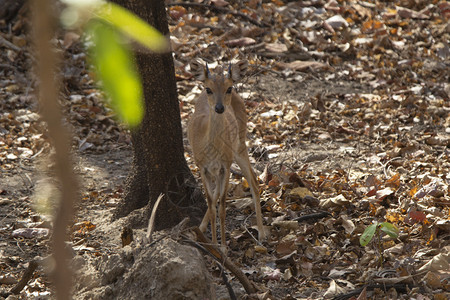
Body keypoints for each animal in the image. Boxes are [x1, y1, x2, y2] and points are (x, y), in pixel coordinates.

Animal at [187, 59, 266, 248]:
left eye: (228, 88)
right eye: (208, 89)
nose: (219, 107)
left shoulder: (226, 165)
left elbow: (222, 206)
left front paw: (222, 246)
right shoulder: (202, 166)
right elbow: (211, 203)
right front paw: (214, 244)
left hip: (239, 144)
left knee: (254, 181)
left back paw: (261, 234)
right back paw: (200, 229)